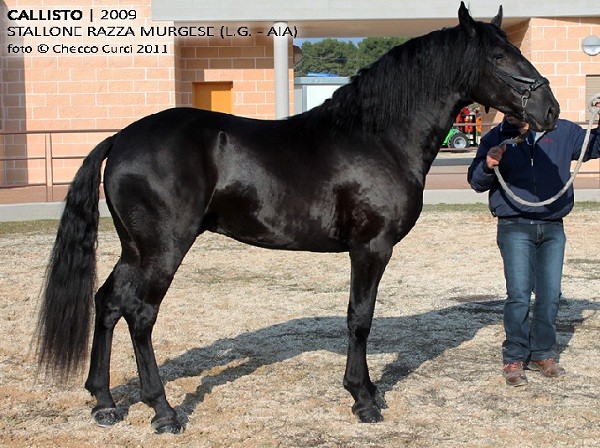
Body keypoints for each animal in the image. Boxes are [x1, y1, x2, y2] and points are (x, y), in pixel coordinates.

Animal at [37, 1, 560, 432]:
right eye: (498, 58)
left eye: (516, 50)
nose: (549, 108)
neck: (377, 137)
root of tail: (121, 138)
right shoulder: (370, 247)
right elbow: (360, 317)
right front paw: (363, 398)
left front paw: (368, 392)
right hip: (163, 249)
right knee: (140, 313)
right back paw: (162, 410)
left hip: (135, 248)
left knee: (108, 302)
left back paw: (104, 401)